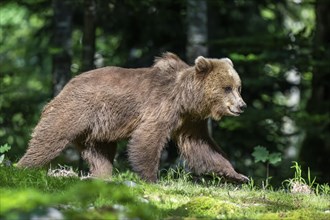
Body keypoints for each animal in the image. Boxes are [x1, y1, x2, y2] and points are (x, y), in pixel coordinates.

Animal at [17, 52, 248, 183]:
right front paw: (151, 178)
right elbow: (147, 138)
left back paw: (101, 175)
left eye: (238, 87)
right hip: (76, 110)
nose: (241, 106)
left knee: (99, 153)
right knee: (50, 137)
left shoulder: (190, 122)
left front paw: (238, 175)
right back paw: (23, 166)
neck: (187, 100)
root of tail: (66, 86)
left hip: (98, 129)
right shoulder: (162, 107)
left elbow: (203, 147)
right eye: (227, 88)